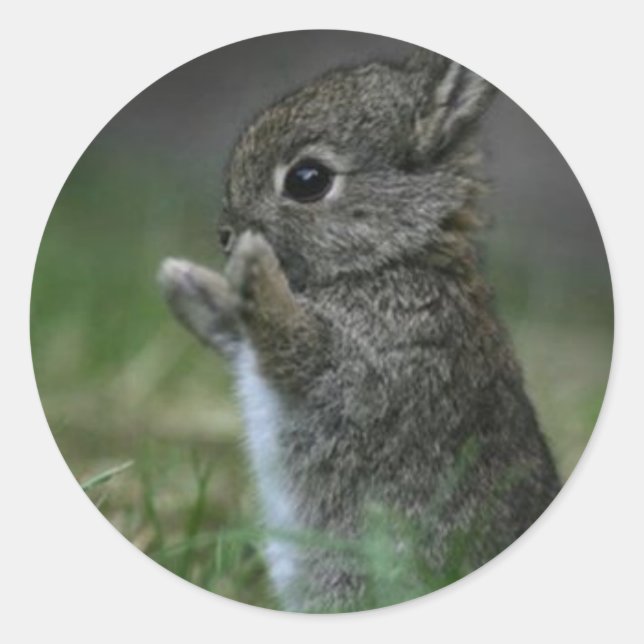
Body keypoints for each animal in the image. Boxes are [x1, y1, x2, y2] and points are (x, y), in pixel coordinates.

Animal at [158, 48, 561, 613]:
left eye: (307, 179)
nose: (226, 236)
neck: (391, 258)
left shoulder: (368, 364)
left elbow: (294, 346)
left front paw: (253, 267)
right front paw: (184, 281)